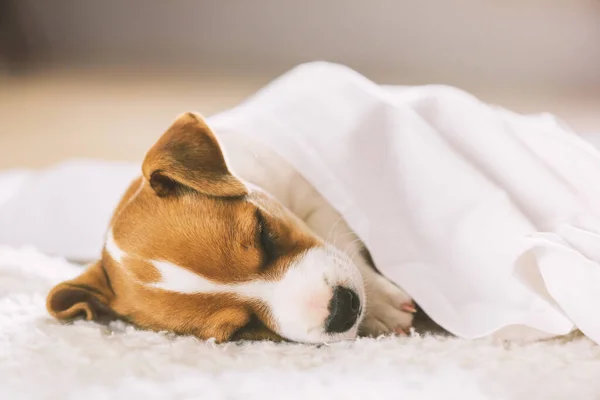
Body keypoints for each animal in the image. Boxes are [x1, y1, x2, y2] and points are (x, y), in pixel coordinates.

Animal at [47, 113, 414, 344]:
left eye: (263, 233)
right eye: (242, 329)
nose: (341, 310)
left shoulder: (313, 190)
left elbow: (343, 242)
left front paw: (381, 303)